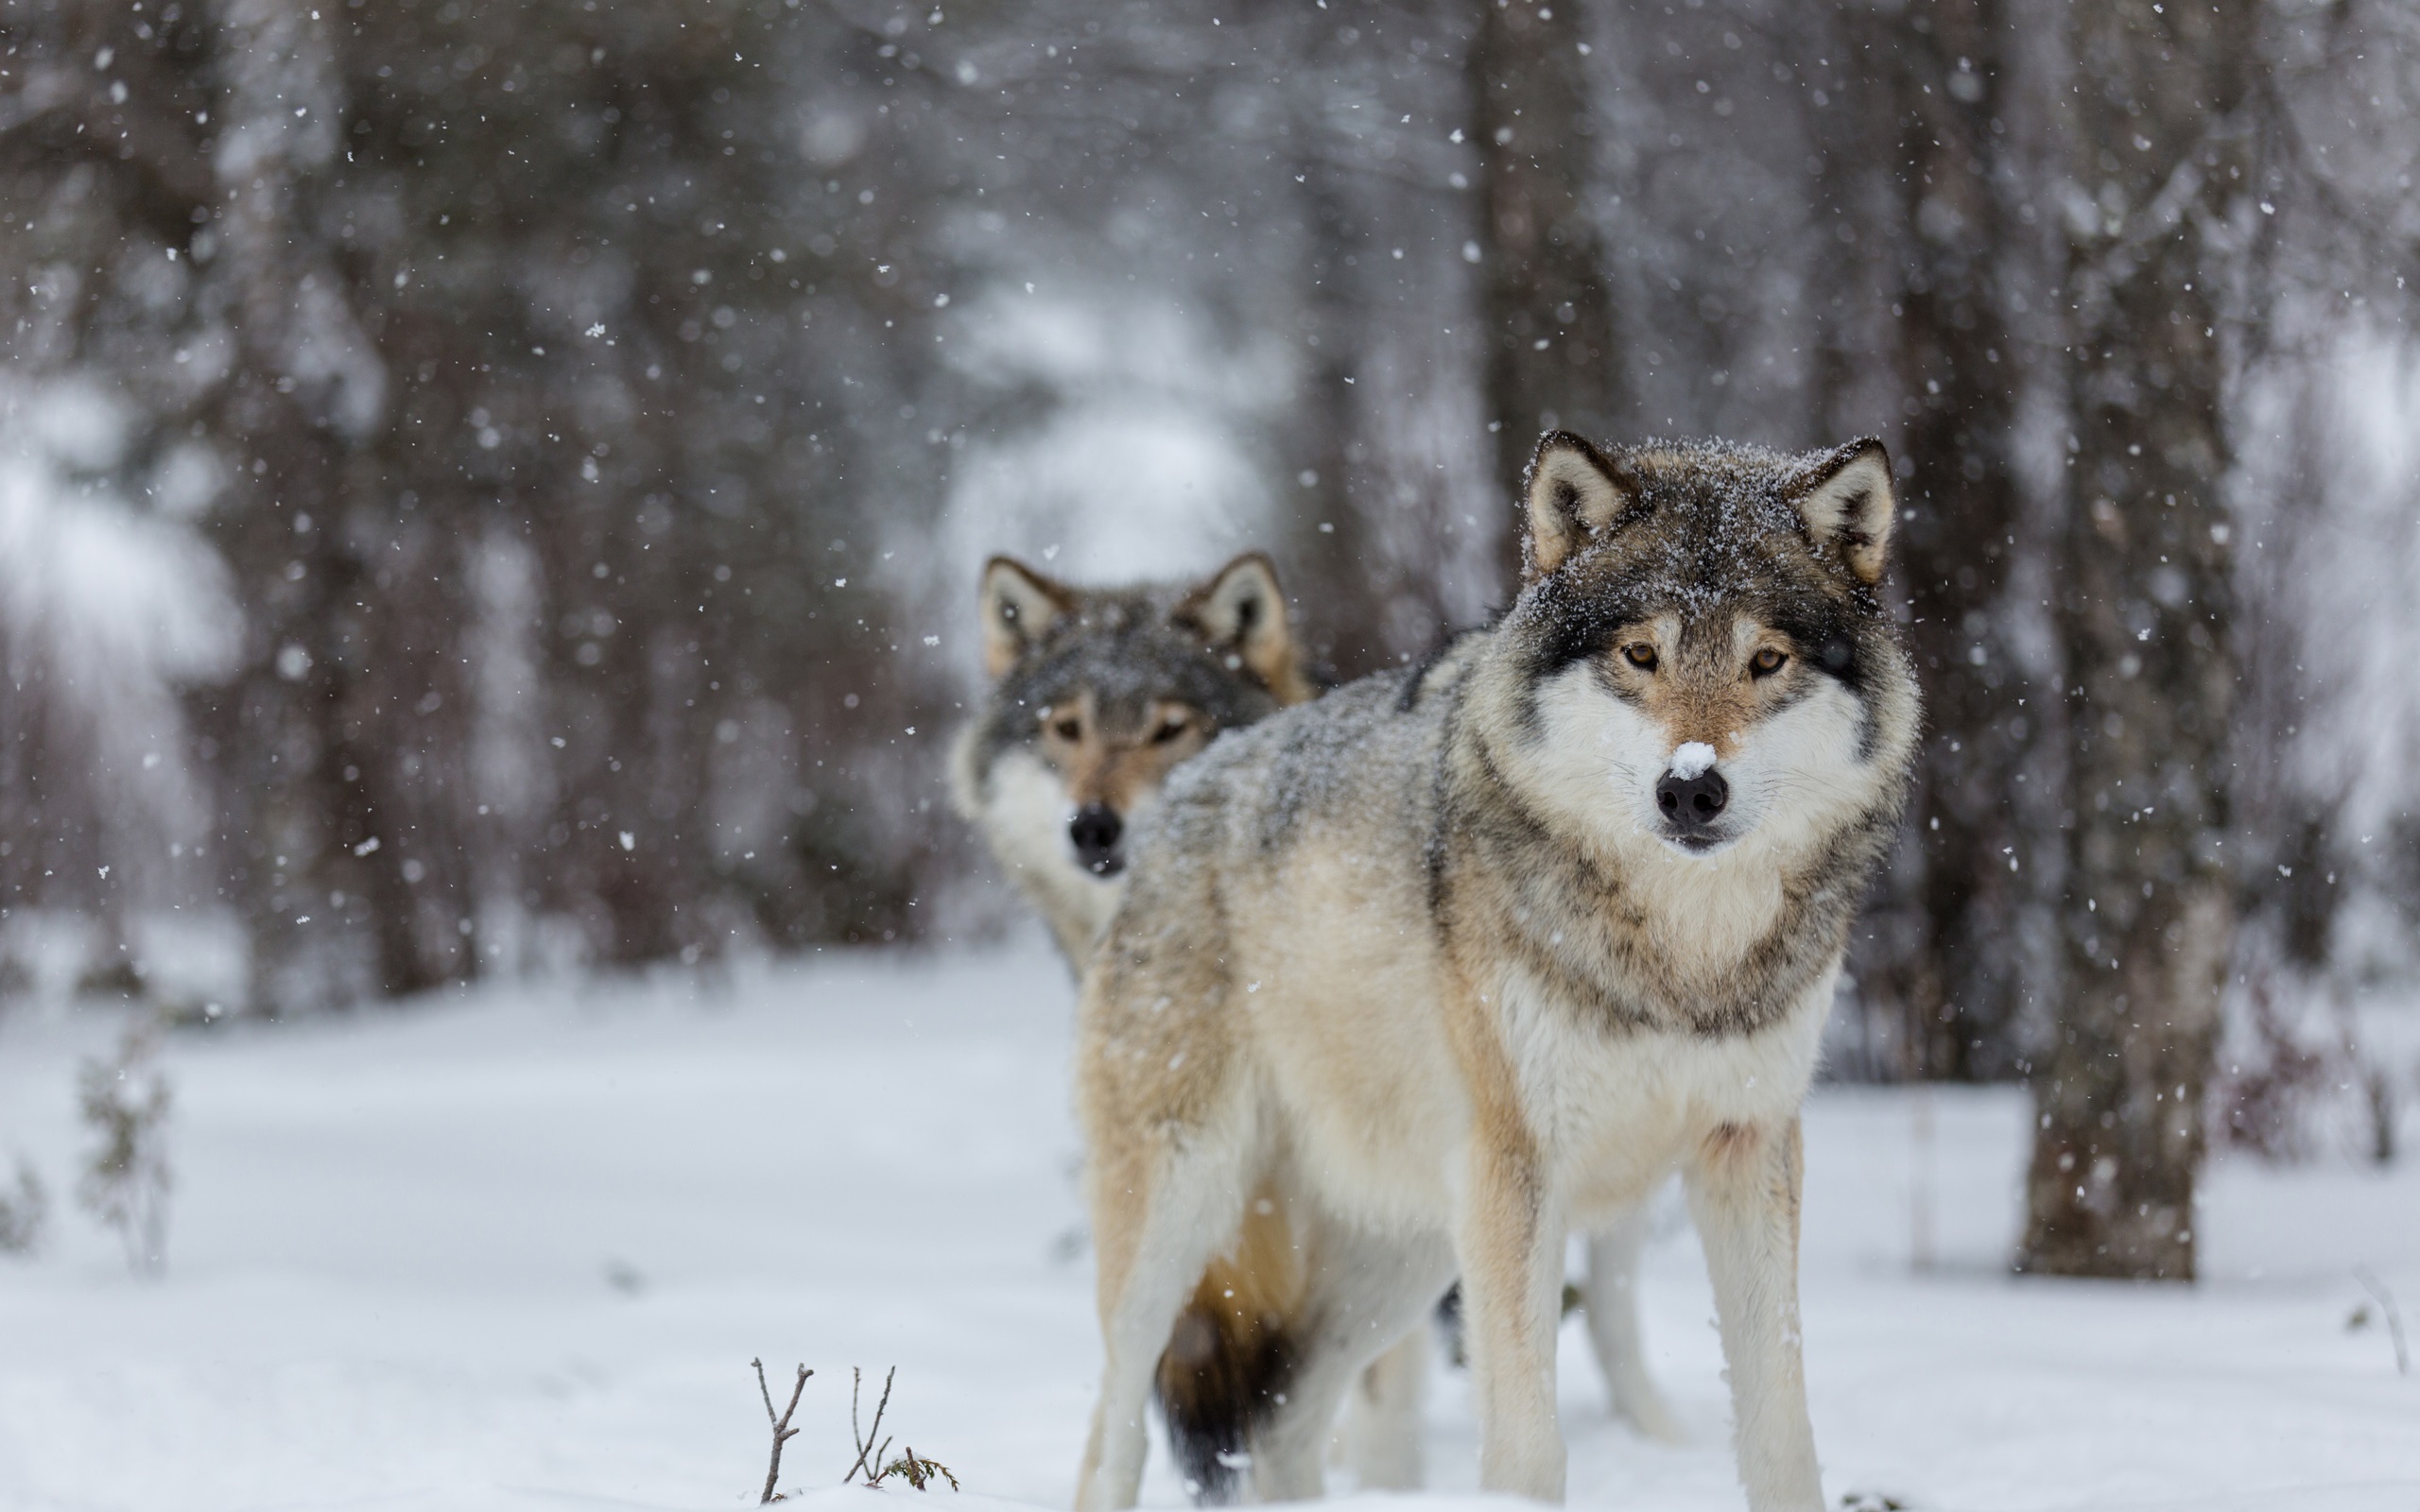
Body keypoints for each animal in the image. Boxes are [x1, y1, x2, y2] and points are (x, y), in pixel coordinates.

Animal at [1070, 432, 1920, 1511]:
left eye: (1765, 661)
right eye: (1639, 655)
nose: (1691, 788)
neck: (1680, 959)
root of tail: (1183, 788)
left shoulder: (1748, 1147)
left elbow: (1780, 1430)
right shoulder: (1521, 1173)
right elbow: (1527, 1449)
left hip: (1407, 1252)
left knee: (1284, 1429)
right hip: (1184, 1219)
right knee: (1113, 1431)